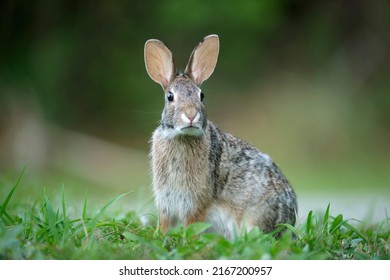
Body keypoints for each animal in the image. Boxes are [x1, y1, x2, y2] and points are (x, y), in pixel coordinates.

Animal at [145, 34, 298, 238]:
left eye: (201, 95)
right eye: (170, 97)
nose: (191, 115)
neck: (181, 136)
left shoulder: (196, 202)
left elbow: (193, 224)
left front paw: (190, 239)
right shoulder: (166, 202)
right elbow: (164, 224)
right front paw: (158, 236)